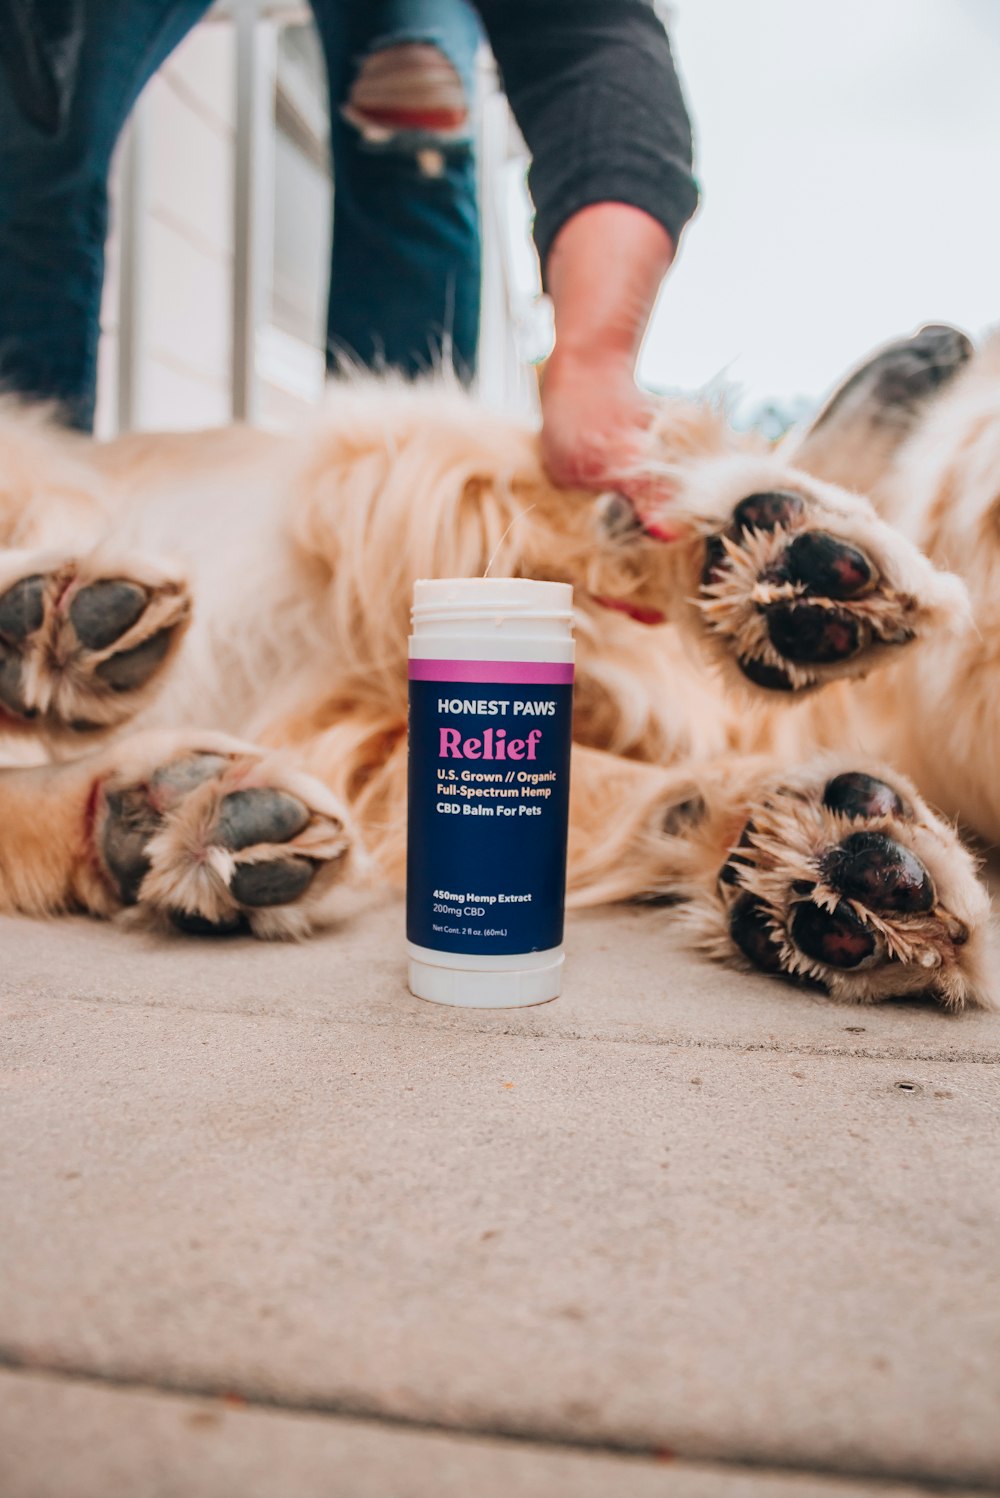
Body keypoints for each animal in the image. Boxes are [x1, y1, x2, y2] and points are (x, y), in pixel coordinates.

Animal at [0, 323, 994, 1012]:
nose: (946, 338)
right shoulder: (400, 475)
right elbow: (589, 500)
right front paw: (762, 551)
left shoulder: (377, 737)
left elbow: (634, 788)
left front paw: (794, 854)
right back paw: (60, 628)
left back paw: (152, 794)